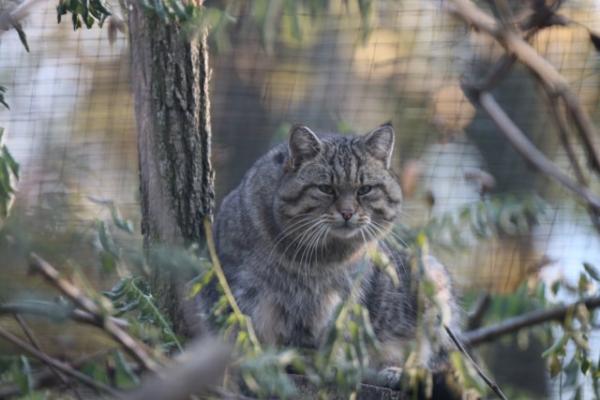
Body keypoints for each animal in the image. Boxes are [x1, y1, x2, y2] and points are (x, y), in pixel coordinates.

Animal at [204, 122, 458, 368]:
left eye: (364, 190)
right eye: (326, 189)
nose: (347, 212)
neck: (315, 257)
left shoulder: (339, 301)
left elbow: (335, 340)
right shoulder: (245, 289)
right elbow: (245, 328)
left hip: (431, 282)